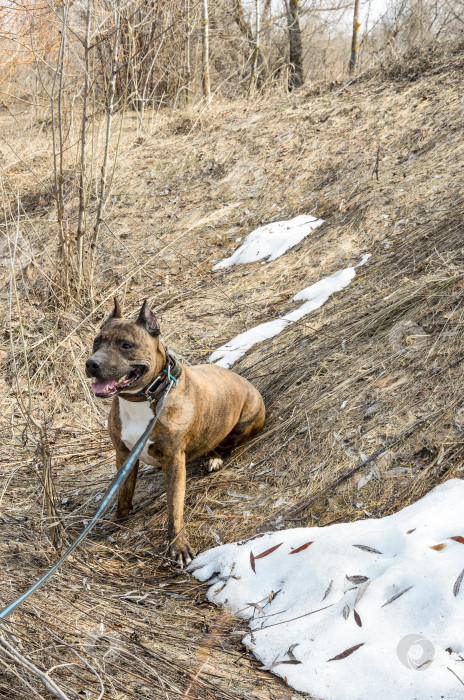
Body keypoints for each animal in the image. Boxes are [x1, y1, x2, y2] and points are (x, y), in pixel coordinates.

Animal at [84, 298, 264, 568]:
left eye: (126, 345)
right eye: (97, 341)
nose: (92, 363)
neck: (146, 396)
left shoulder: (174, 461)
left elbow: (174, 508)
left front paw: (177, 545)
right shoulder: (123, 454)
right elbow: (123, 495)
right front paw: (117, 521)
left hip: (244, 420)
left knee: (222, 444)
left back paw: (214, 459)